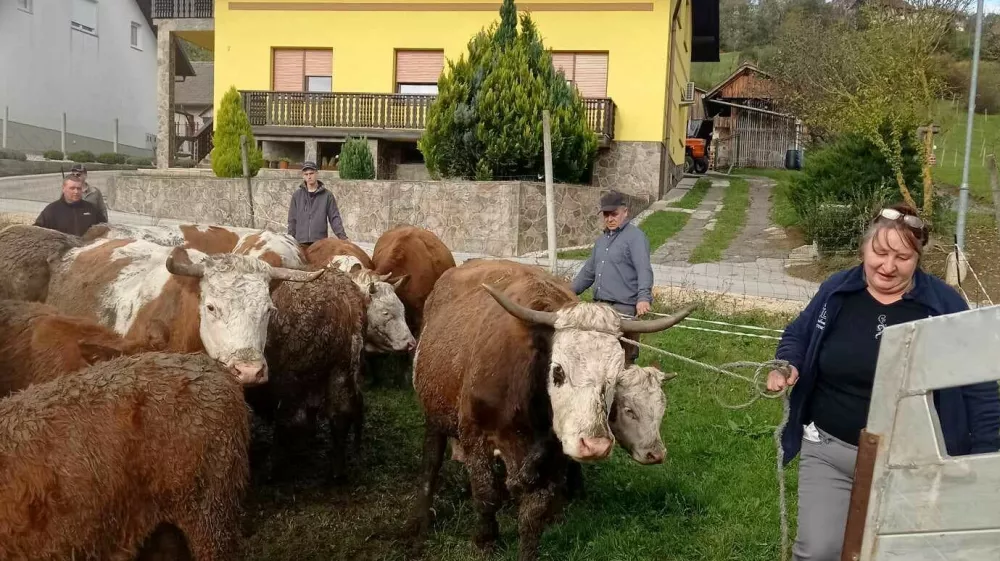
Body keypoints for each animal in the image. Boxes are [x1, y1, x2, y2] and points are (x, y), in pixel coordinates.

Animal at [408, 260, 696, 560]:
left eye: (616, 377)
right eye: (558, 371)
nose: (595, 446)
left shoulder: (554, 455)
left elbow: (533, 514)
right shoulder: (476, 436)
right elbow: (486, 495)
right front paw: (485, 542)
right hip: (435, 415)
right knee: (431, 462)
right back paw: (418, 522)